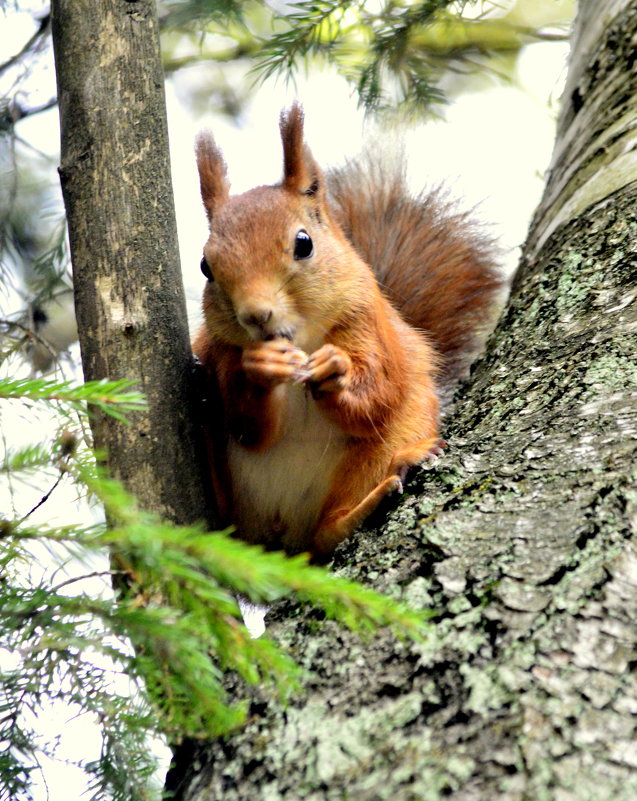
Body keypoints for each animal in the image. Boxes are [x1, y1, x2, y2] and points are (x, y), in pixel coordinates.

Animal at [190, 101, 502, 564]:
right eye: (205, 267)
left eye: (304, 243)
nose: (256, 315)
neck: (300, 339)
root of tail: (283, 544)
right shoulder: (221, 353)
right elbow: (247, 425)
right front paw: (261, 369)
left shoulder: (366, 323)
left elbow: (378, 393)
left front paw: (335, 370)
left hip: (394, 434)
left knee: (328, 533)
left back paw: (376, 494)